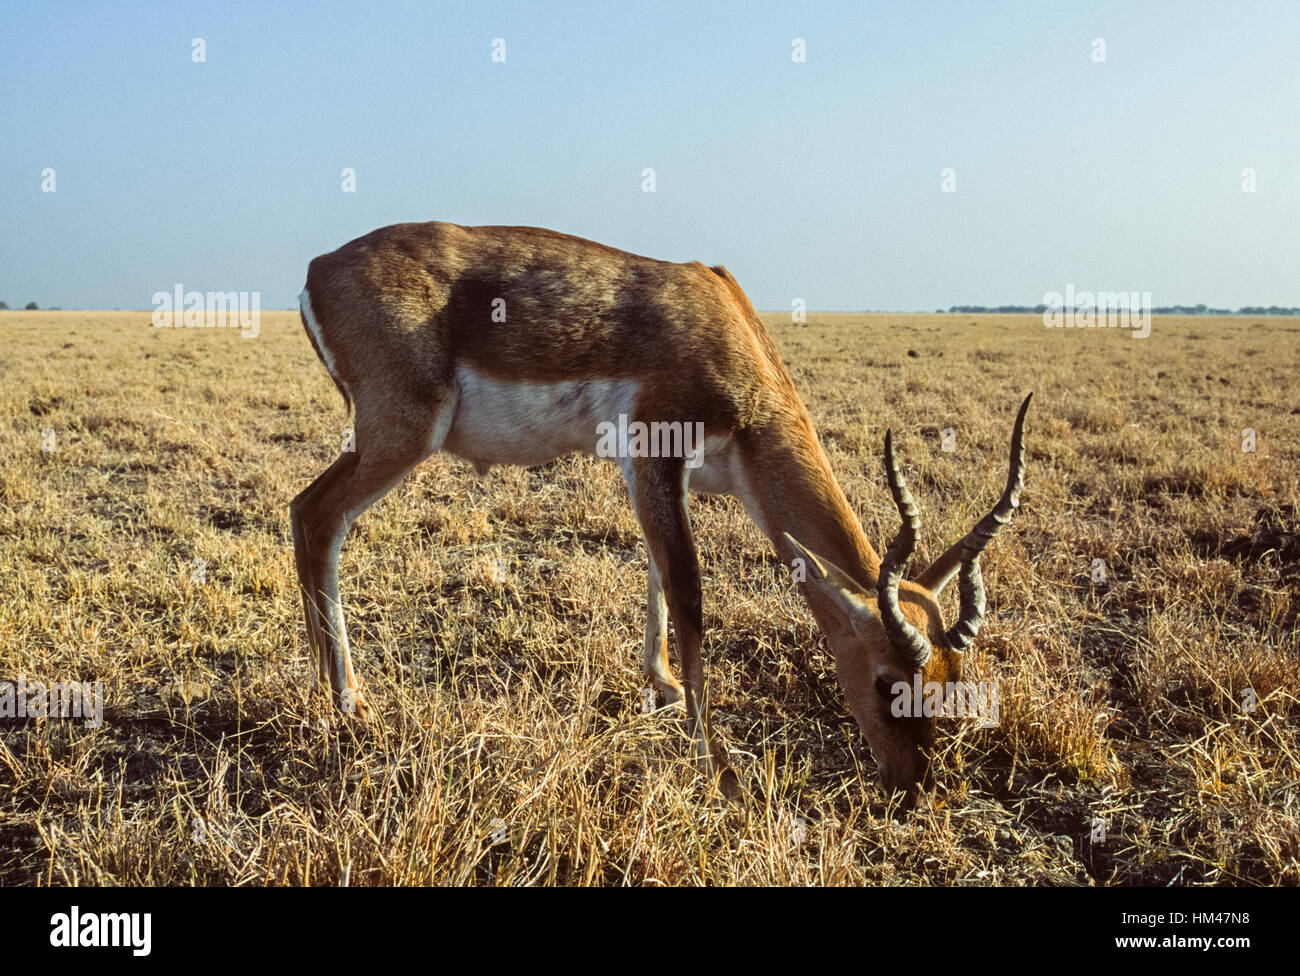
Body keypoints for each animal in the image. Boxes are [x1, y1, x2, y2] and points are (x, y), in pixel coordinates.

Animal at [289, 220, 1029, 800]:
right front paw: (720, 773)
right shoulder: (653, 454)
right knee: (313, 515)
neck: (728, 330)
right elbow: (691, 593)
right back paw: (348, 703)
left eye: (951, 681)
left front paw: (663, 685)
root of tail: (317, 267)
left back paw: (332, 695)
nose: (910, 784)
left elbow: (655, 576)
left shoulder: (675, 477)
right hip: (403, 433)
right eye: (885, 682)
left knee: (310, 517)